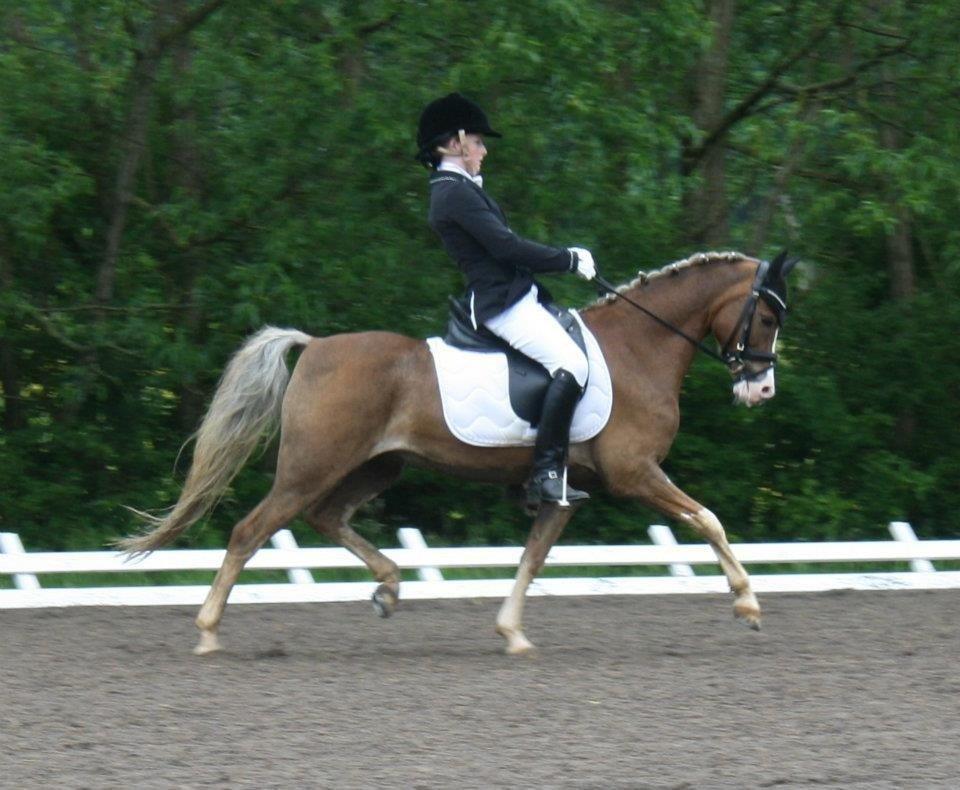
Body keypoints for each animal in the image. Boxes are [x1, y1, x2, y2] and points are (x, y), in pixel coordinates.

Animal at [121, 250, 799, 656]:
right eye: (767, 317)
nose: (761, 390)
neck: (640, 348)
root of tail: (314, 345)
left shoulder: (564, 489)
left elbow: (533, 557)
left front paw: (511, 633)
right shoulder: (635, 473)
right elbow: (708, 519)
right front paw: (747, 604)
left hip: (377, 465)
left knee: (325, 518)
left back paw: (390, 587)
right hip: (311, 466)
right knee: (250, 530)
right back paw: (209, 632)